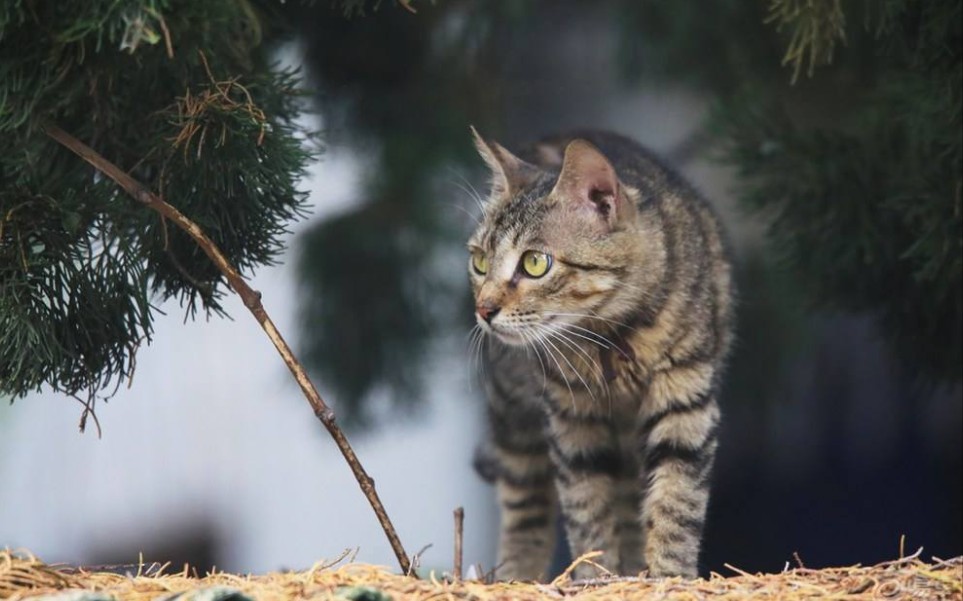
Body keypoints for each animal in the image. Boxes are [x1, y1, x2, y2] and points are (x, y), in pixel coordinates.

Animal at [466, 127, 732, 580]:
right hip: (514, 414)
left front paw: (669, 576)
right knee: (525, 503)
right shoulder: (571, 418)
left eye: (535, 263)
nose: (484, 310)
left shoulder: (686, 398)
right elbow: (586, 509)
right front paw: (595, 577)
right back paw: (518, 573)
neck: (611, 334)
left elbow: (676, 502)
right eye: (480, 261)